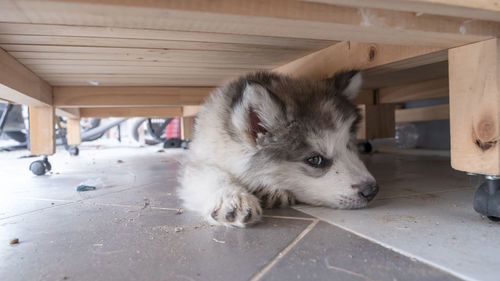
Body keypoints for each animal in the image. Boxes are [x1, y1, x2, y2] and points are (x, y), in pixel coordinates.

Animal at [180, 71, 378, 226]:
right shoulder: (200, 157)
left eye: (349, 144)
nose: (372, 190)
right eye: (315, 160)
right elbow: (212, 174)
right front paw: (232, 198)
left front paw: (272, 190)